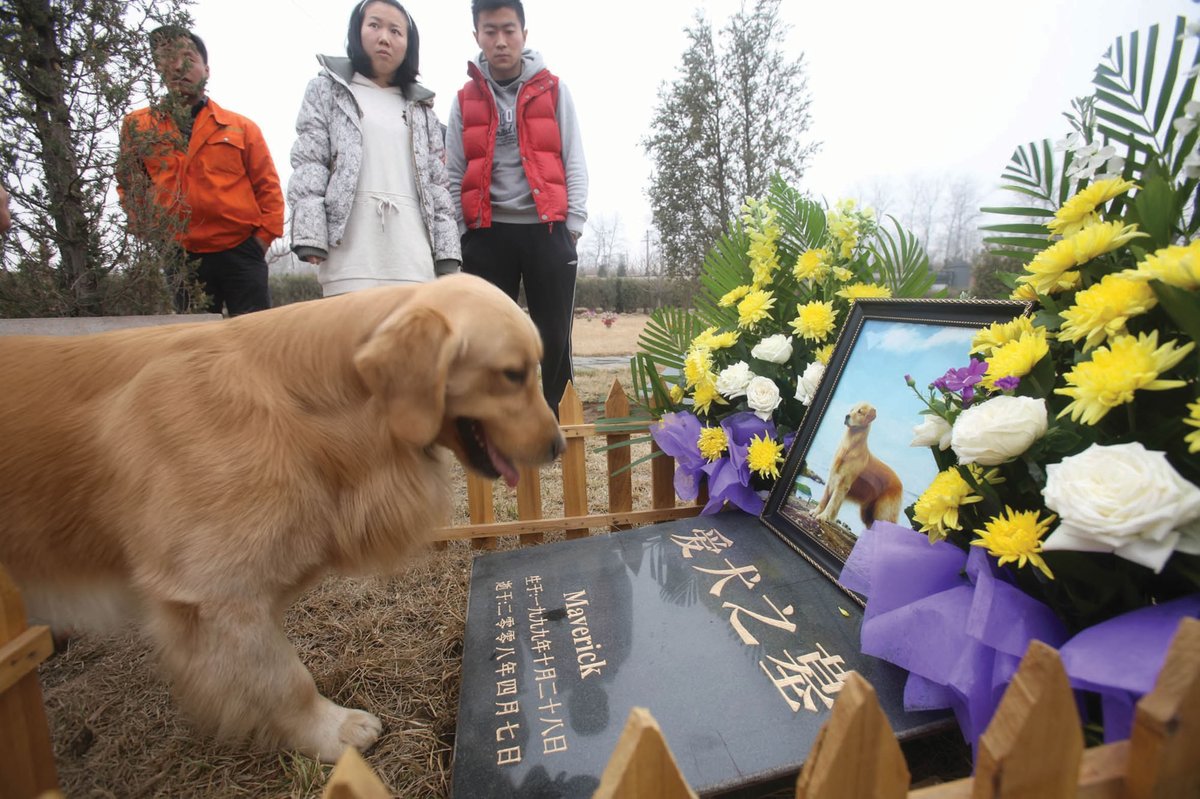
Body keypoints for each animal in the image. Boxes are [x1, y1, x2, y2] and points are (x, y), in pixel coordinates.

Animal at [0, 272, 561, 758]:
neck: (305, 406)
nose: (557, 445)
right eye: (513, 374)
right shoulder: (217, 595)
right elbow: (283, 678)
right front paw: (332, 732)